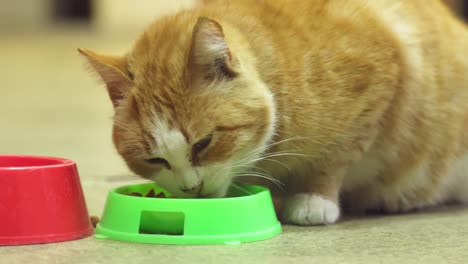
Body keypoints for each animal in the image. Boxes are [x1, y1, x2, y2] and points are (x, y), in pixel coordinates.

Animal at [79, 0, 468, 226]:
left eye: (204, 144)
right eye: (154, 160)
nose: (192, 188)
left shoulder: (379, 77)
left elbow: (335, 155)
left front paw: (314, 198)